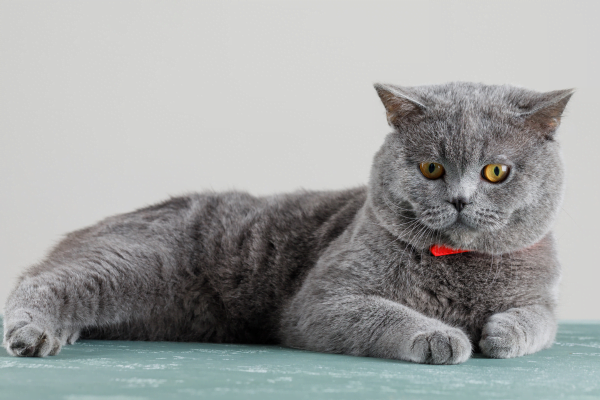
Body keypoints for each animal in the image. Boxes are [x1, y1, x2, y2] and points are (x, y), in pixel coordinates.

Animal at [1, 81, 572, 362]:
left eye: (496, 171)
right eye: (432, 168)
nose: (458, 199)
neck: (459, 264)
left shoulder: (540, 293)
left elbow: (540, 320)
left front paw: (502, 333)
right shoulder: (321, 302)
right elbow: (386, 313)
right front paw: (440, 337)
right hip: (135, 262)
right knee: (43, 280)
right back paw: (32, 334)